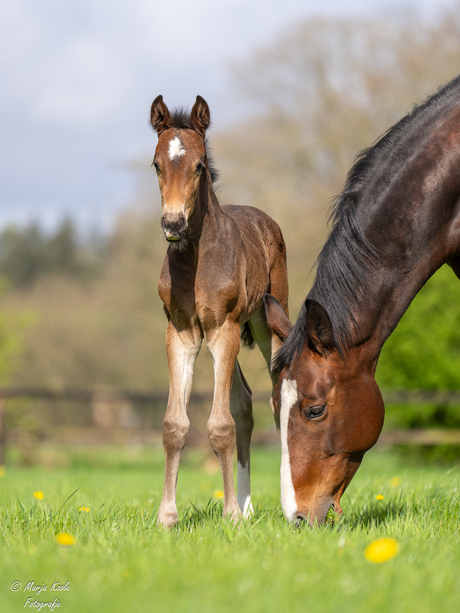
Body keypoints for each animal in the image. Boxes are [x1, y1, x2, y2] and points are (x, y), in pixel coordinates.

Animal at [150, 94, 288, 524]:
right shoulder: (181, 332)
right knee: (244, 403)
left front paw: (228, 515)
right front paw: (167, 517)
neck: (196, 257)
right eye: (156, 164)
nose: (173, 222)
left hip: (266, 321)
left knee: (279, 398)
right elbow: (175, 425)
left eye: (198, 165)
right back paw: (246, 506)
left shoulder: (223, 328)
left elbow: (220, 424)